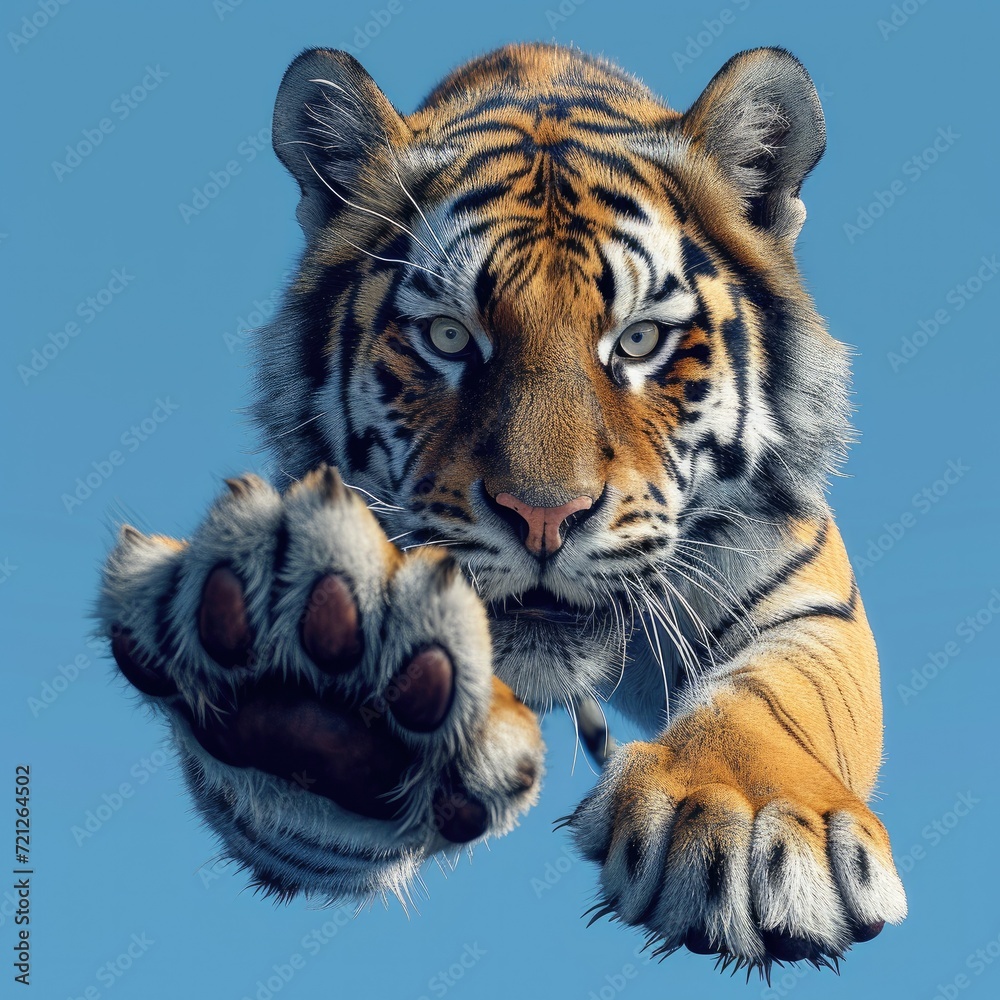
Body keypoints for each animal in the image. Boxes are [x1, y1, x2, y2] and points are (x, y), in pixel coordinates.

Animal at [98, 41, 907, 975]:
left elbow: (769, 702)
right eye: (449, 337)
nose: (543, 517)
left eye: (639, 340)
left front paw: (741, 823)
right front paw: (322, 705)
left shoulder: (802, 590)